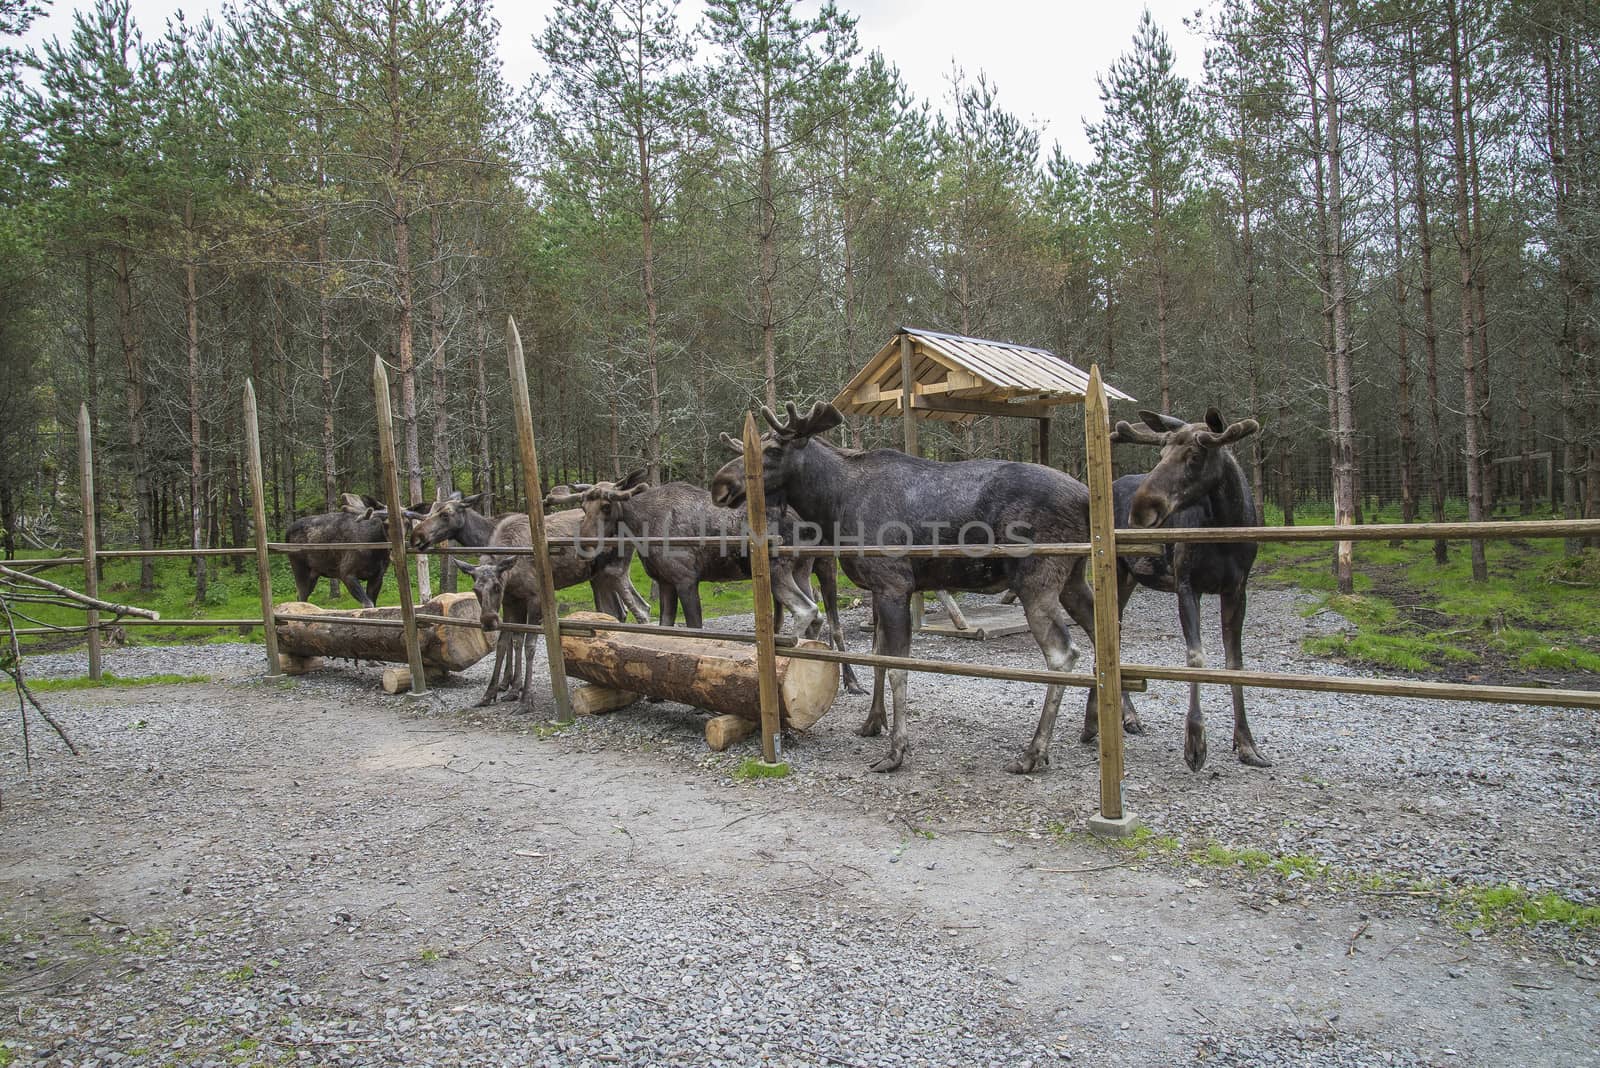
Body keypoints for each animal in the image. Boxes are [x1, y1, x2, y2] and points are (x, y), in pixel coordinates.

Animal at [556, 466, 870, 693]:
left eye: (607, 506)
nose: (584, 546)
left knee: (810, 611)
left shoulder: (686, 579)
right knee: (817, 615)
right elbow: (665, 629)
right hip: (801, 570)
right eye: (582, 506)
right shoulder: (665, 582)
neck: (642, 527)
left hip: (785, 570)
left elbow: (695, 630)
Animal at [1107, 406, 1267, 767]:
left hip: (1129, 581)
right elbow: (1195, 656)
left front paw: (1246, 743)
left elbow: (1235, 662)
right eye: (1160, 453)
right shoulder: (1186, 584)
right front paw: (1195, 742)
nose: (1140, 512)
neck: (1226, 524)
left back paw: (1128, 715)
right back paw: (1126, 716)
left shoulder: (1237, 589)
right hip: (1116, 575)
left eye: (1194, 456)